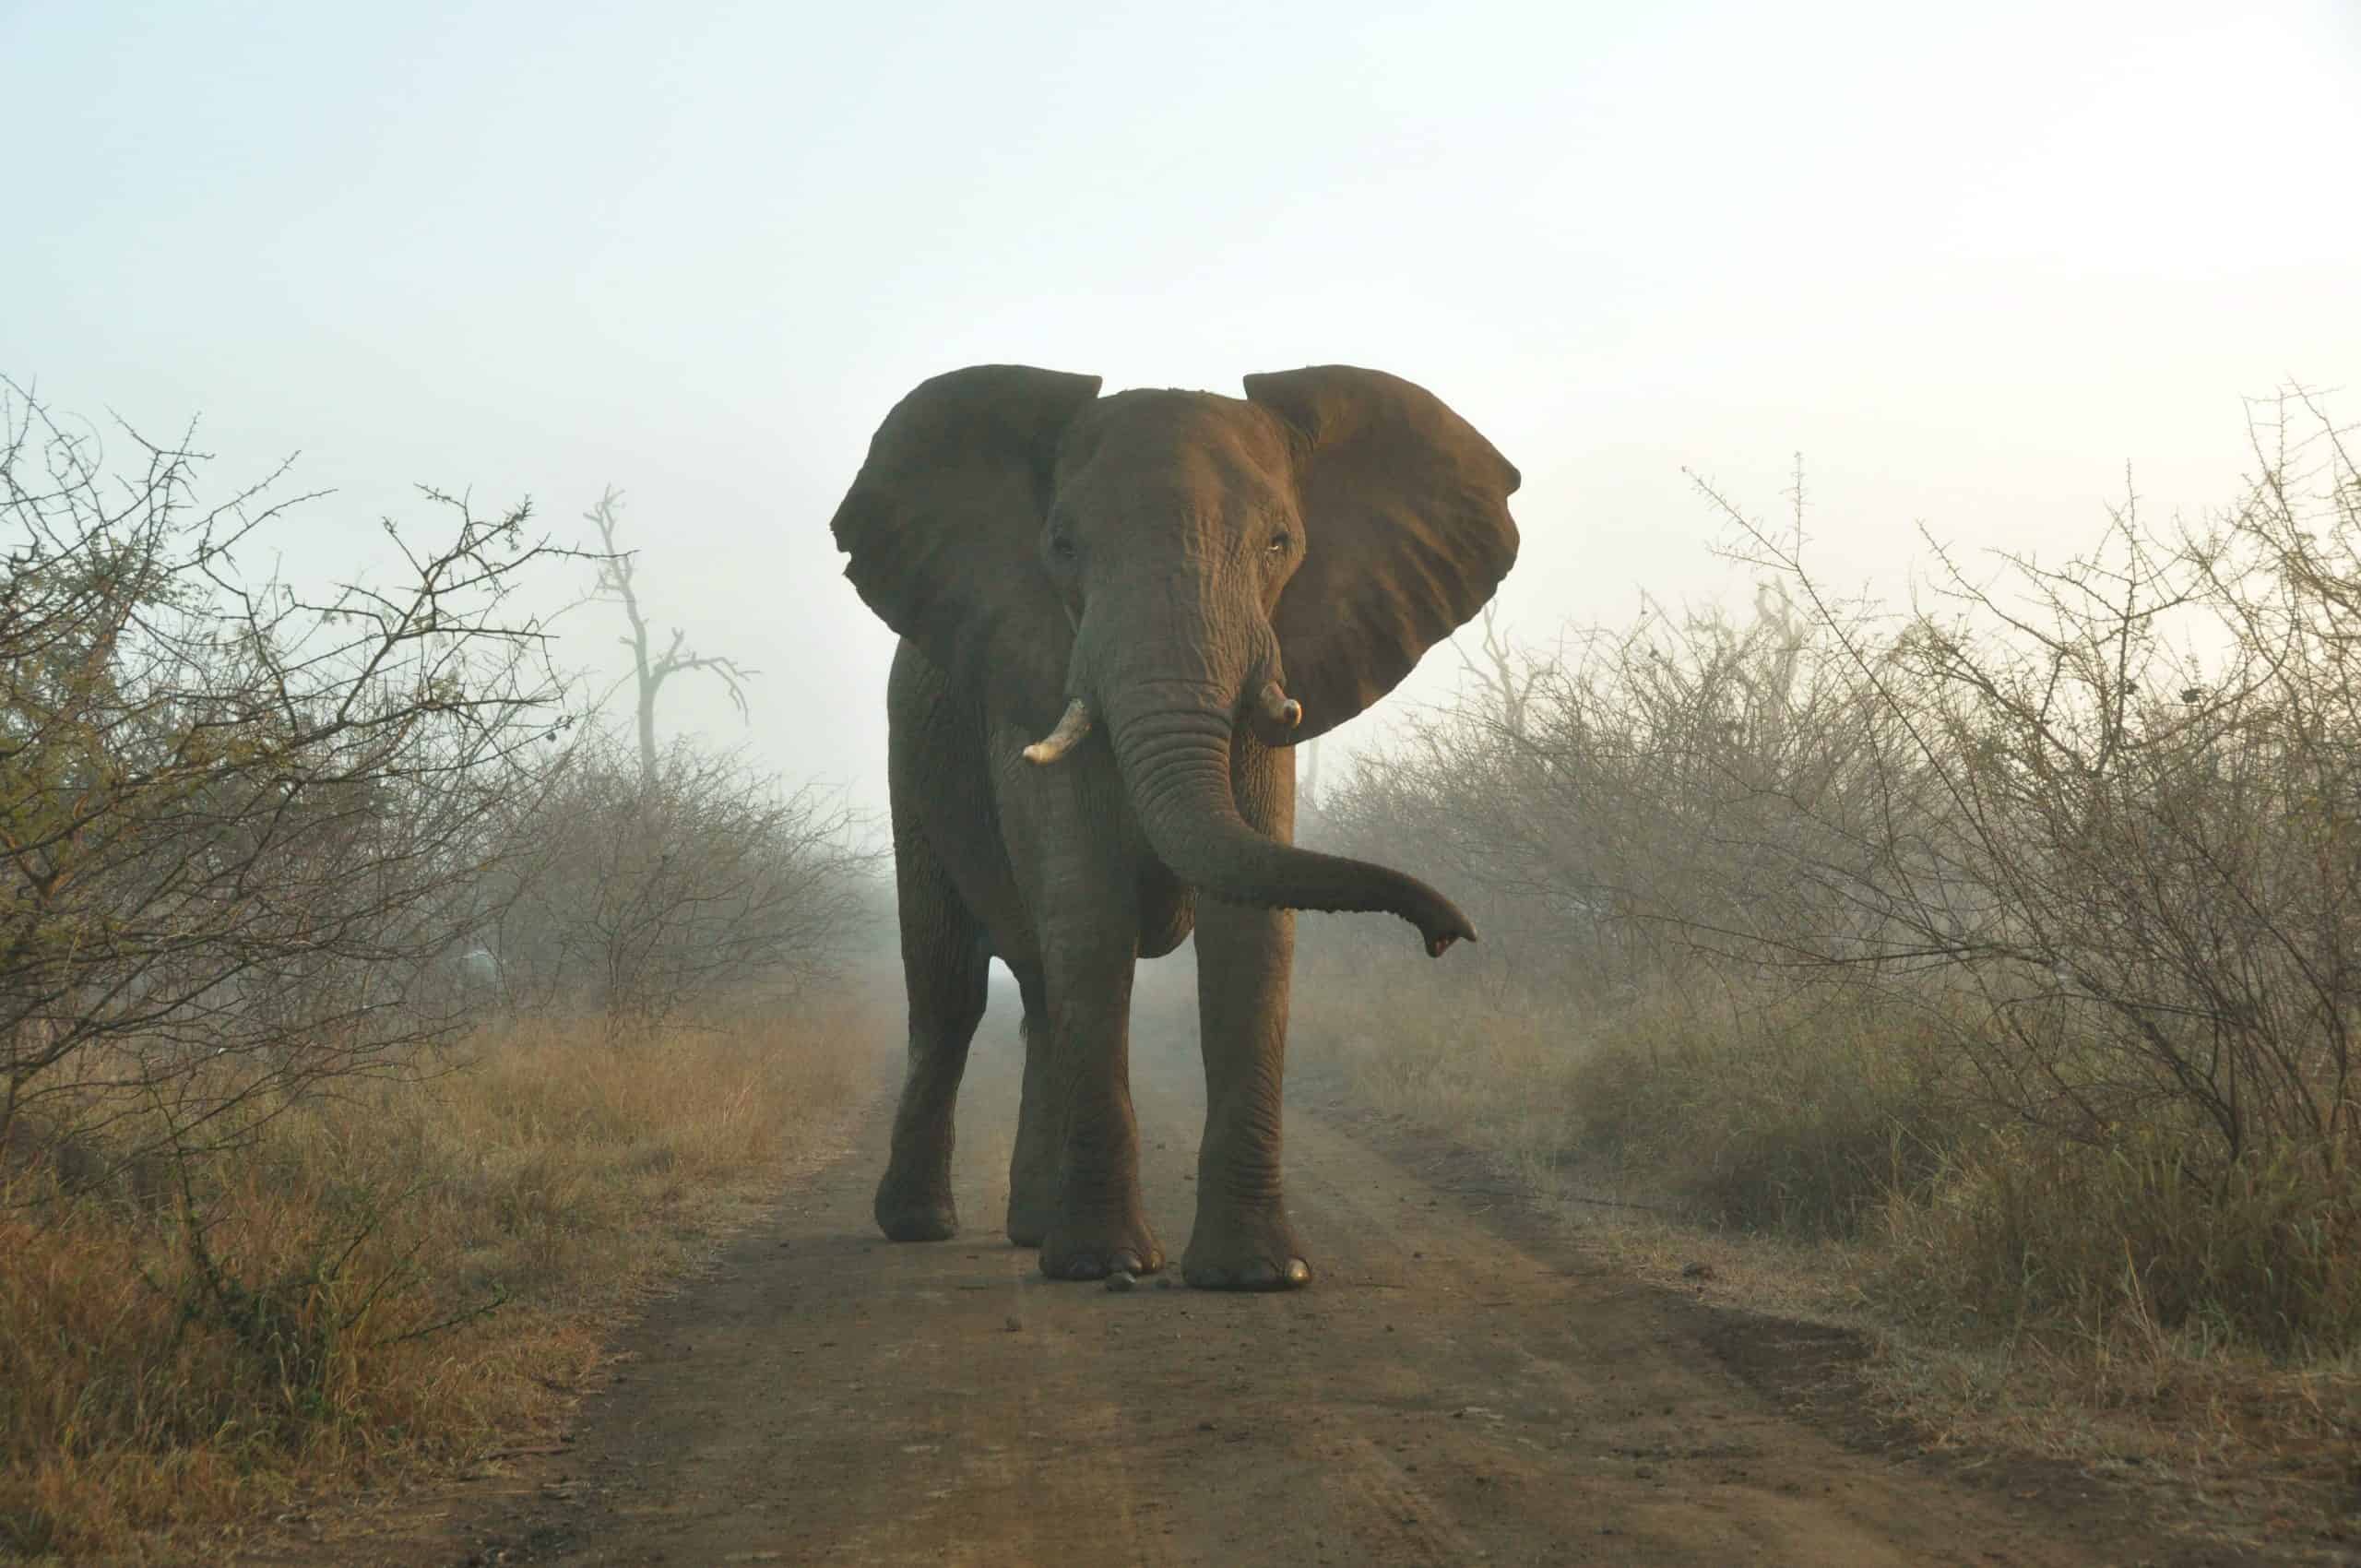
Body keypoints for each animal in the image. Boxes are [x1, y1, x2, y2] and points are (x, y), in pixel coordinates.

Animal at [828, 364, 1520, 1289]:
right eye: (1062, 547)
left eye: (1279, 545)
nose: (1450, 935)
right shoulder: (1041, 680)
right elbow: (1091, 917)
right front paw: (1107, 1263)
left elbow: (1250, 935)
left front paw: (1257, 1277)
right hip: (913, 760)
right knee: (950, 992)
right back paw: (923, 1226)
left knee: (1038, 993)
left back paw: (1031, 1230)